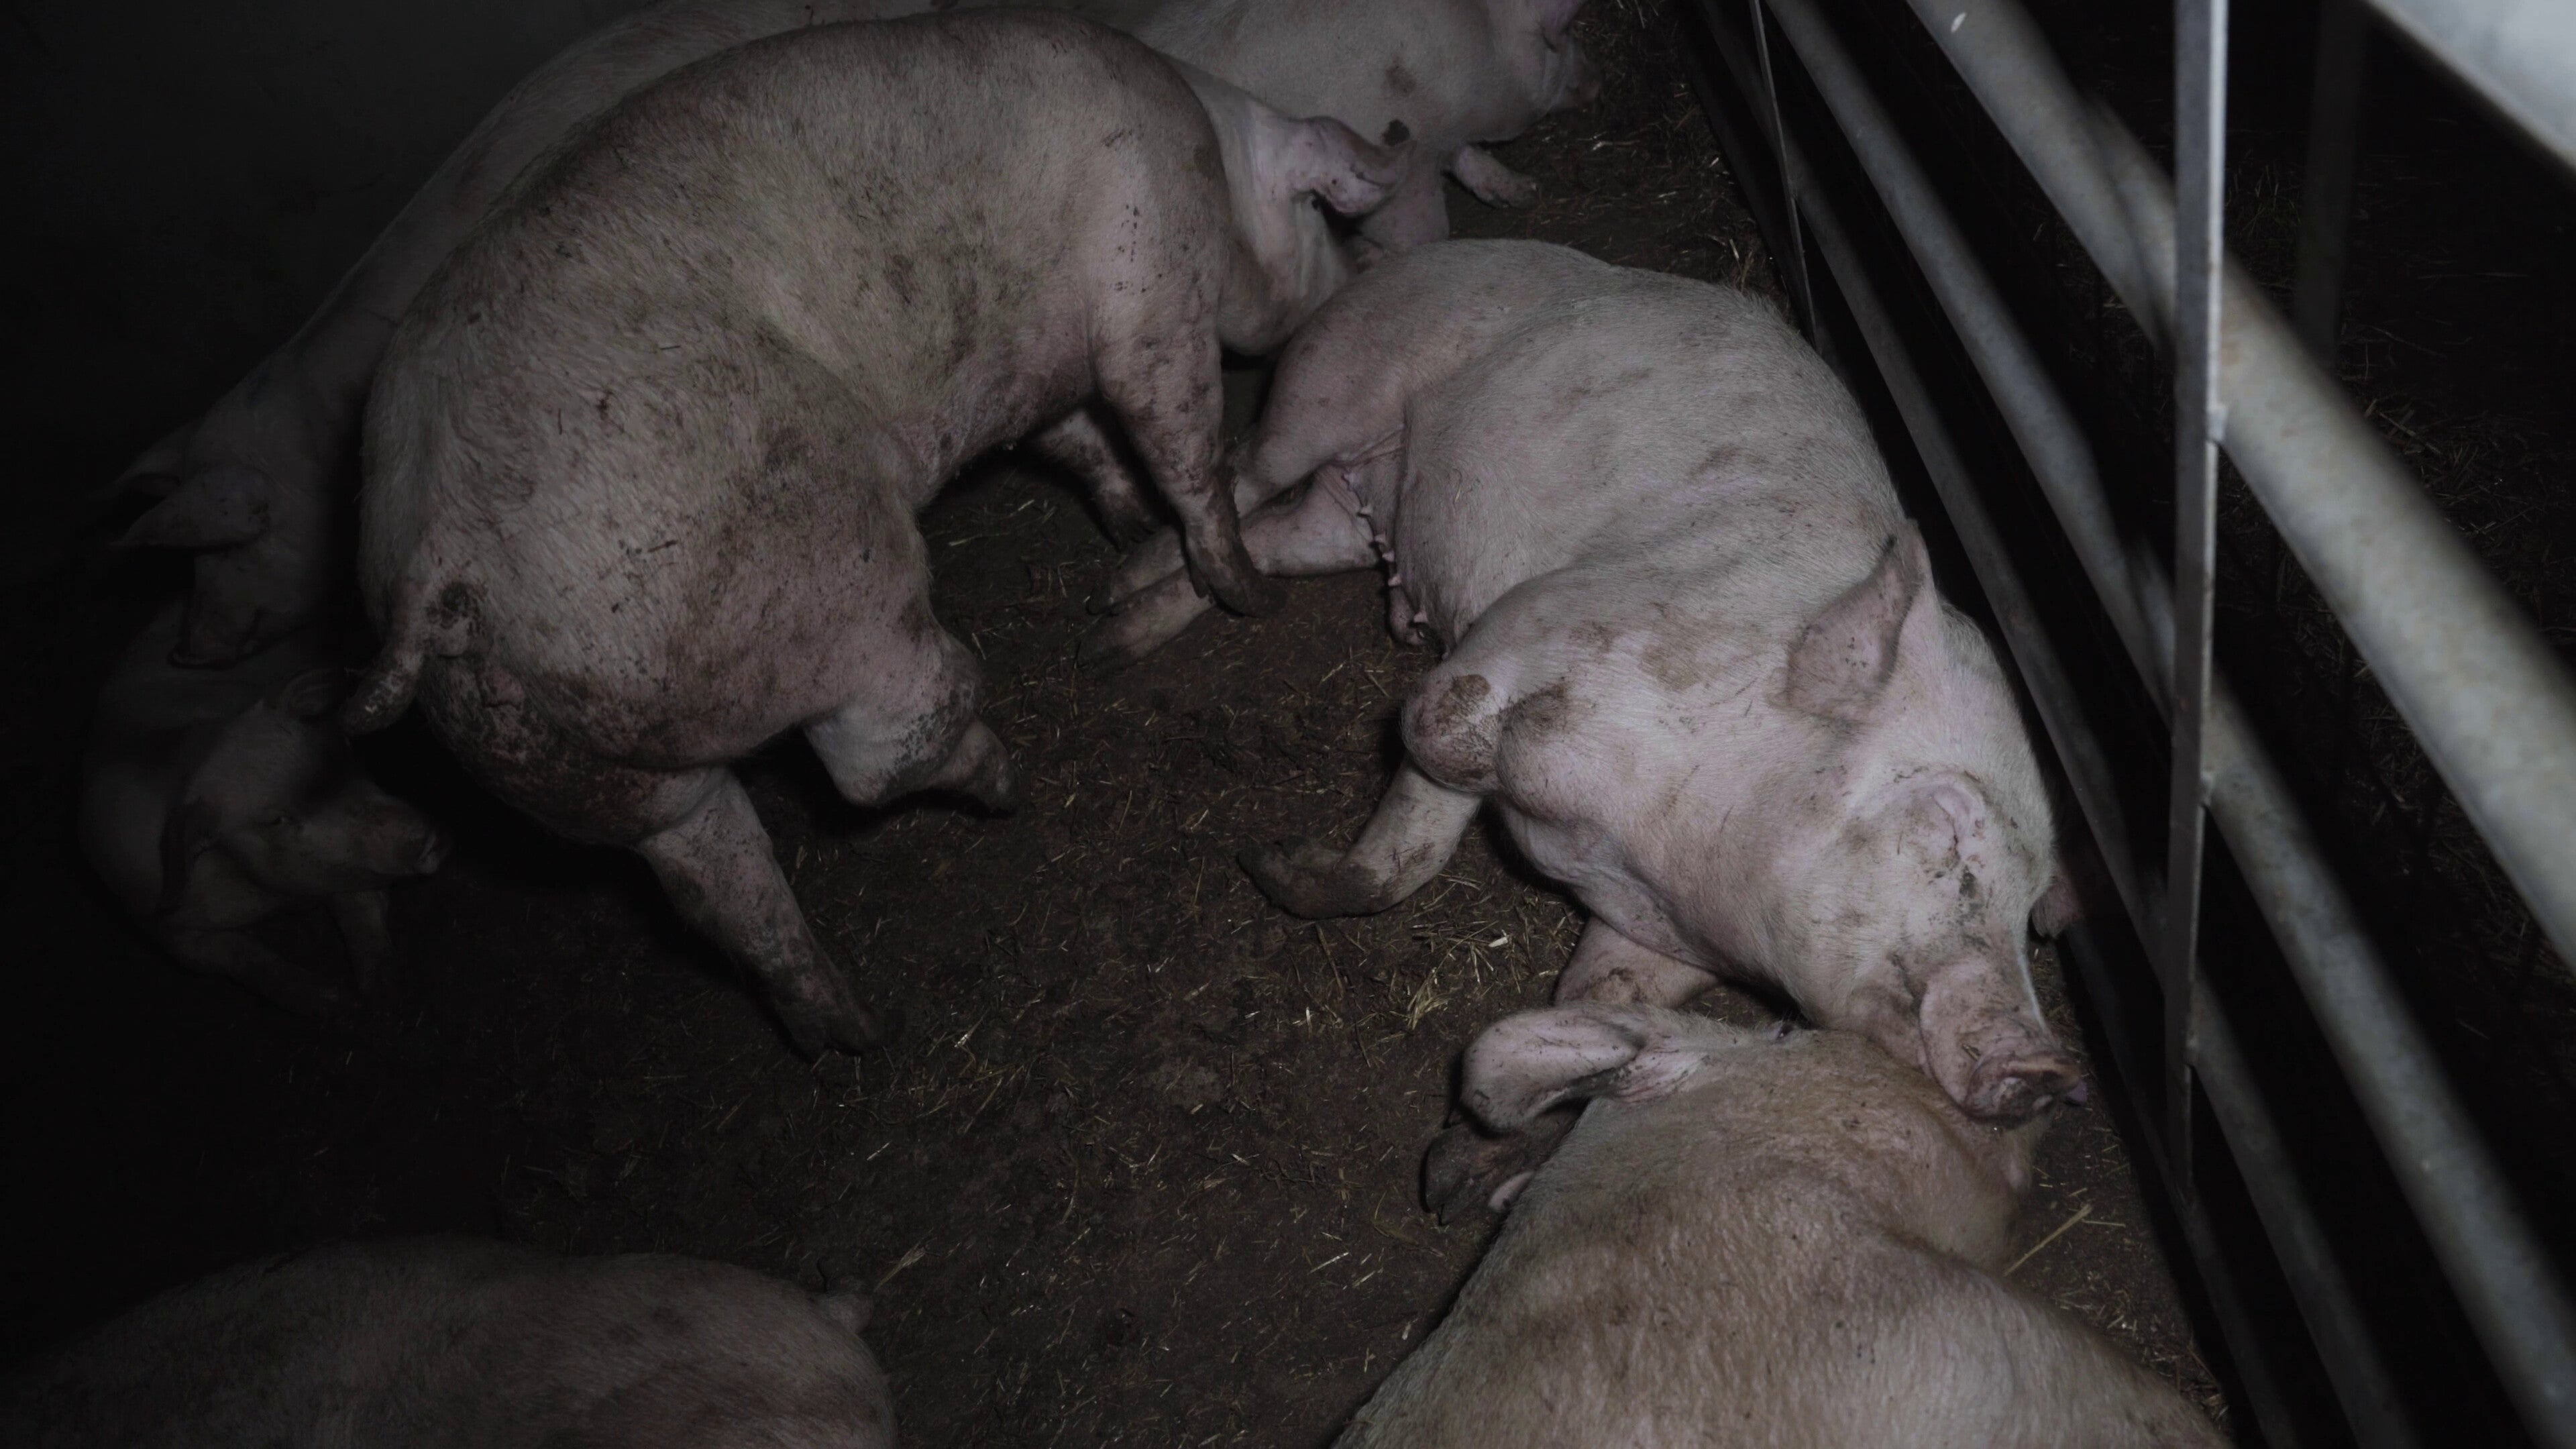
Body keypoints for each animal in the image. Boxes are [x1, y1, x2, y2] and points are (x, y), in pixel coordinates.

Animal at [78, 599, 447, 1018]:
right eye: (276, 820)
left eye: (344, 750)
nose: (429, 838)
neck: (273, 898)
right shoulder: (160, 922)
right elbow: (240, 960)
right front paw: (334, 1001)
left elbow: (361, 910)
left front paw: (386, 994)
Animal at [348, 11, 1404, 1056]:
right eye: (1322, 215)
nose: (1363, 275)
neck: (1215, 160)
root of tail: (437, 562)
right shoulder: (1151, 282)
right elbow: (1174, 435)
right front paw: (1246, 595)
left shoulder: (1033, 367)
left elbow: (1077, 441)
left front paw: (1128, 527)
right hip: (807, 577)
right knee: (880, 749)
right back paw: (1003, 779)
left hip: (574, 761)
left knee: (714, 879)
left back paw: (850, 1032)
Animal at [1088, 241, 2083, 1122]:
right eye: (1948, 826)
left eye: (2032, 906)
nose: (2051, 1070)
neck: (1666, 861)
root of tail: (1424, 254)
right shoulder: (1540, 623)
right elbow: (1432, 763)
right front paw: (1265, 859)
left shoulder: (1660, 939)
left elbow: (1566, 973)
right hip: (1328, 382)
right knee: (1238, 473)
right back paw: (1121, 599)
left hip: (1343, 511)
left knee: (1278, 535)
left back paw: (1126, 628)